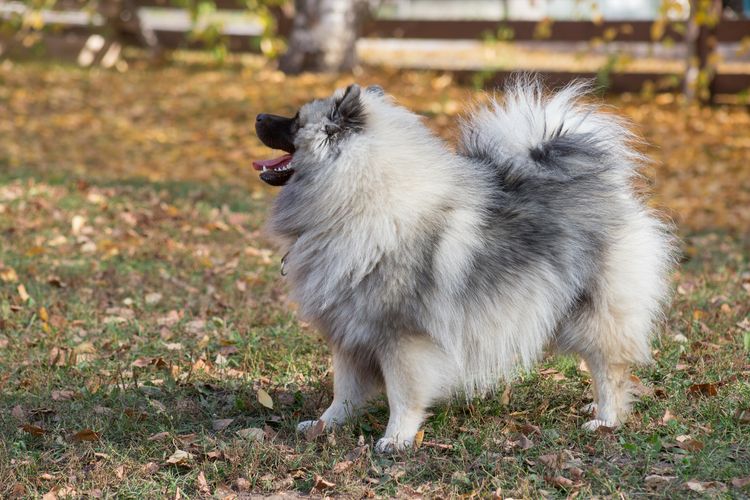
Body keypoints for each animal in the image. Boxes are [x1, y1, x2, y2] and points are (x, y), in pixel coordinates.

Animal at [253, 78, 676, 454]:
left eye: (294, 120)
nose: (258, 116)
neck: (358, 200)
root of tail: (608, 187)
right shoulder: (349, 333)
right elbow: (344, 391)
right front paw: (325, 425)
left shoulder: (402, 338)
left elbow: (403, 394)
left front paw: (396, 439)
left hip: (593, 315)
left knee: (610, 370)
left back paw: (606, 418)